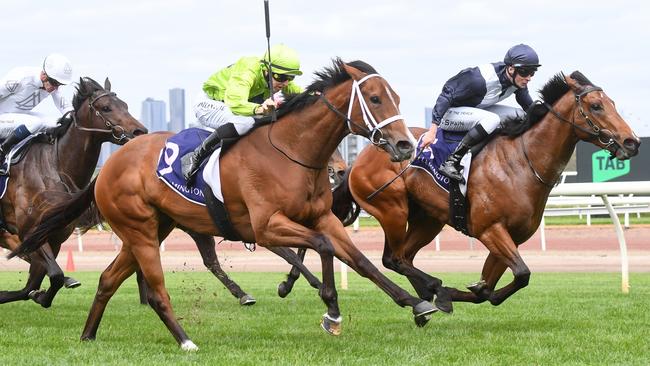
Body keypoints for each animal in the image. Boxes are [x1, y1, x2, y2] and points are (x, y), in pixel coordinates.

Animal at [0, 78, 147, 308]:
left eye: (125, 105)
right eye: (106, 107)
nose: (140, 132)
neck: (55, 167)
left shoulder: (53, 238)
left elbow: (36, 284)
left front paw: (39, 294)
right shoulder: (29, 232)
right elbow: (53, 276)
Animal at [330, 72, 636, 312]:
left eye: (612, 103)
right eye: (596, 106)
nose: (631, 142)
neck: (522, 162)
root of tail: (363, 156)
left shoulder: (512, 236)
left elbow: (492, 288)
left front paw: (464, 292)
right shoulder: (490, 229)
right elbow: (521, 274)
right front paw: (449, 292)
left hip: (428, 218)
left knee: (403, 257)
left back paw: (428, 293)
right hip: (392, 209)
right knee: (392, 258)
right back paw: (431, 290)